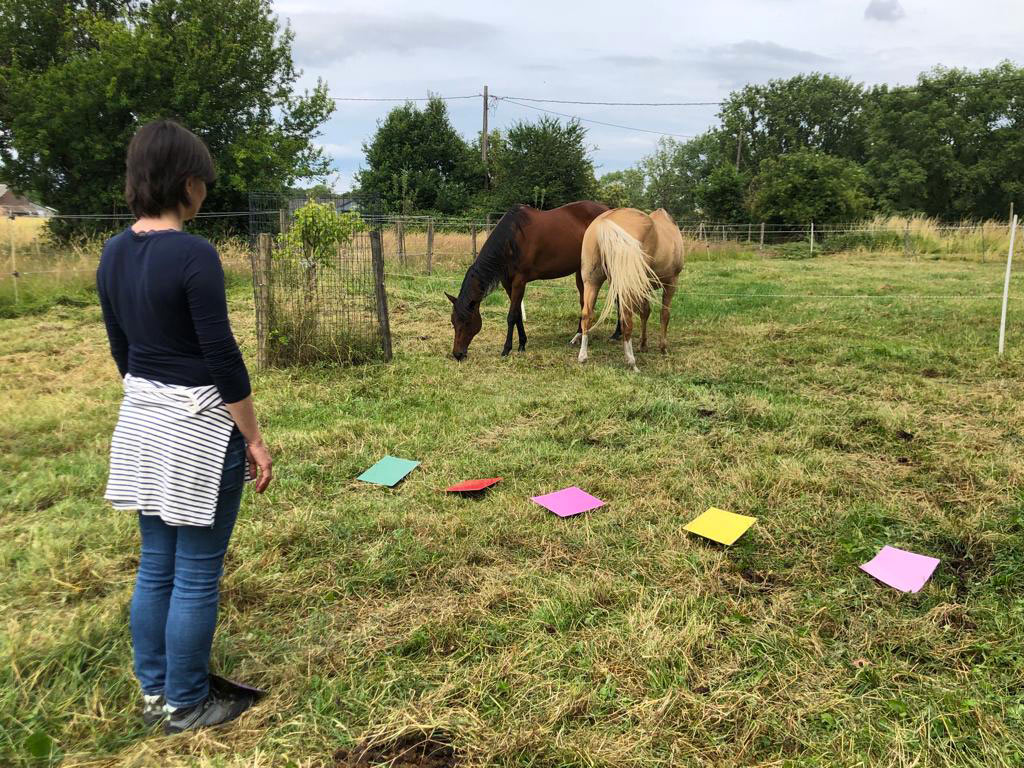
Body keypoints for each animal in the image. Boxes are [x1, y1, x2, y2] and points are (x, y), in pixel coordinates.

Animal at [446, 202, 618, 362]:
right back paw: (578, 336)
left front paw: (506, 349)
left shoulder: (519, 281)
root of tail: (609, 210)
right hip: (582, 271)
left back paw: (615, 335)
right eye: (453, 322)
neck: (512, 239)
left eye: (467, 322)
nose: (458, 354)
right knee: (584, 303)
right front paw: (522, 344)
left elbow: (511, 316)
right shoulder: (508, 283)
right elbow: (517, 314)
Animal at [581, 207, 684, 370]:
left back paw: (583, 356)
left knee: (586, 315)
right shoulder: (671, 282)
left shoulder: (643, 287)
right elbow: (664, 314)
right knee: (626, 319)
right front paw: (663, 348)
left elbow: (645, 313)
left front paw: (643, 345)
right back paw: (631, 361)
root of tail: (606, 220)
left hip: (592, 281)